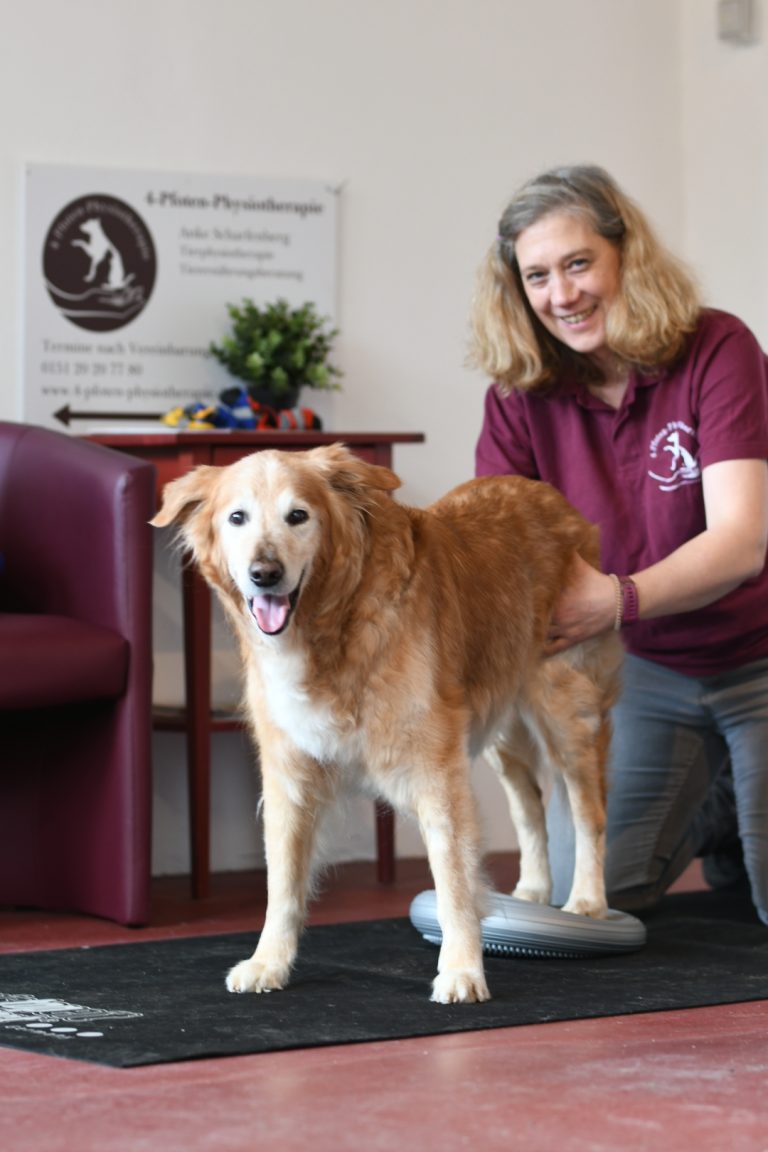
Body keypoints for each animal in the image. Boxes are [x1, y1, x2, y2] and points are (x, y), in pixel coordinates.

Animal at [151, 444, 626, 1004]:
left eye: (298, 516)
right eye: (237, 518)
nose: (264, 573)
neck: (337, 620)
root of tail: (553, 500)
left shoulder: (436, 768)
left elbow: (453, 876)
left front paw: (462, 969)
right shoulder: (289, 772)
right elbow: (283, 882)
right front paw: (269, 962)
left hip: (565, 711)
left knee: (589, 812)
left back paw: (587, 901)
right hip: (500, 728)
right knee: (528, 804)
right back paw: (532, 890)